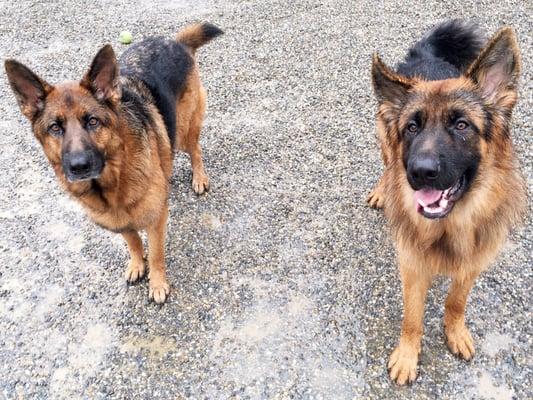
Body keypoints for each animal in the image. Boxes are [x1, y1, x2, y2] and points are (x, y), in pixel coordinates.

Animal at [3, 22, 222, 304]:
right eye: (55, 128)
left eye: (92, 121)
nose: (79, 166)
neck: (113, 182)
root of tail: (174, 42)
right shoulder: (120, 221)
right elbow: (134, 243)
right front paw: (137, 265)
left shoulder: (156, 220)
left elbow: (157, 254)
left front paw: (157, 284)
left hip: (184, 130)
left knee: (195, 150)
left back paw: (199, 178)